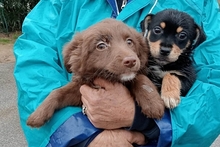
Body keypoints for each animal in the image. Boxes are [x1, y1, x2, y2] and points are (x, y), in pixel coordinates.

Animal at [27, 18, 165, 127]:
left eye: (129, 42)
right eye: (101, 46)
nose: (131, 61)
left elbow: (140, 78)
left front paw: (153, 103)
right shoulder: (80, 89)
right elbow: (57, 92)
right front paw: (38, 115)